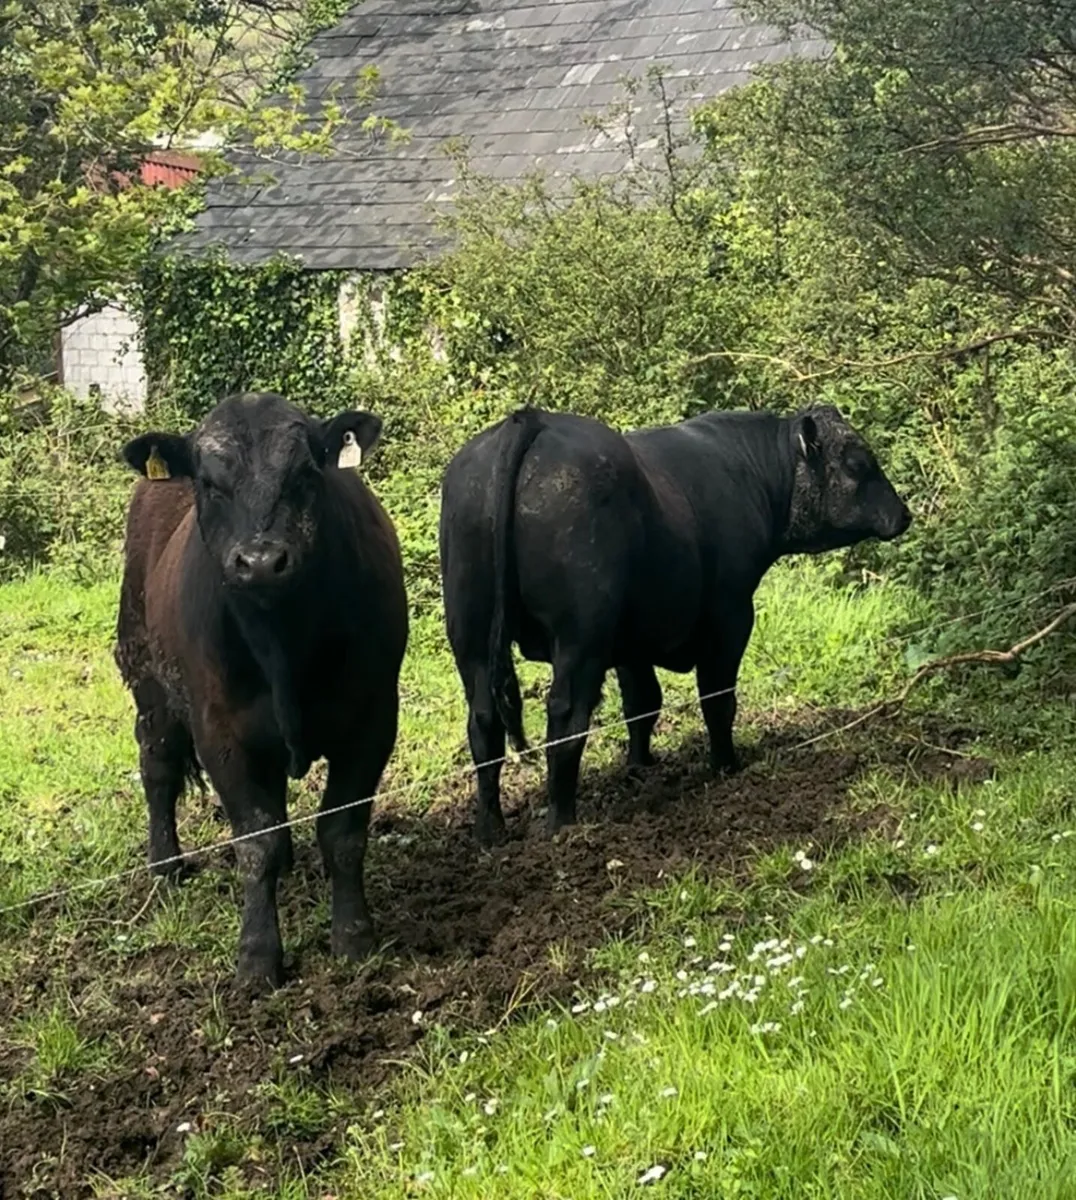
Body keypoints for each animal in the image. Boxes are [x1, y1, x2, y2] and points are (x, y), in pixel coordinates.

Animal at [114, 392, 408, 987]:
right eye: (209, 482)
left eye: (305, 473)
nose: (260, 561)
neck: (281, 642)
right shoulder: (221, 733)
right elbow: (255, 842)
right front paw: (257, 955)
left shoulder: (372, 720)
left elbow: (342, 832)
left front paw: (353, 937)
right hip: (148, 680)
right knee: (158, 767)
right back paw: (166, 865)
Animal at [439, 404, 911, 847]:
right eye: (858, 462)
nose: (903, 514)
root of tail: (532, 419)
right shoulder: (730, 616)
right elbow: (717, 698)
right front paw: (725, 765)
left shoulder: (631, 641)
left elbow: (642, 703)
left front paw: (639, 766)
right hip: (579, 638)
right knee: (566, 716)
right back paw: (562, 821)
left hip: (471, 636)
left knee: (484, 724)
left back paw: (490, 829)